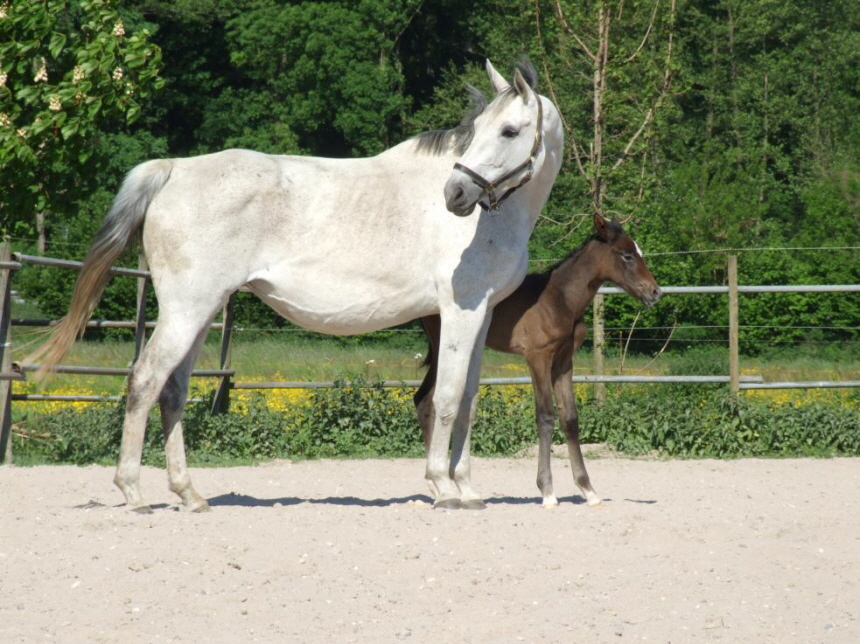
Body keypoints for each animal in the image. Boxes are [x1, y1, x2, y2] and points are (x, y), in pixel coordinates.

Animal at [30, 60, 564, 512]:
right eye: (479, 131)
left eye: (508, 131)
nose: (456, 195)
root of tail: (175, 168)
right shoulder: (459, 310)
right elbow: (448, 399)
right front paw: (444, 488)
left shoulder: (481, 313)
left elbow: (470, 398)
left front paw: (468, 489)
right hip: (187, 310)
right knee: (144, 380)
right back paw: (134, 493)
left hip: (201, 313)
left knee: (173, 391)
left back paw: (189, 494)